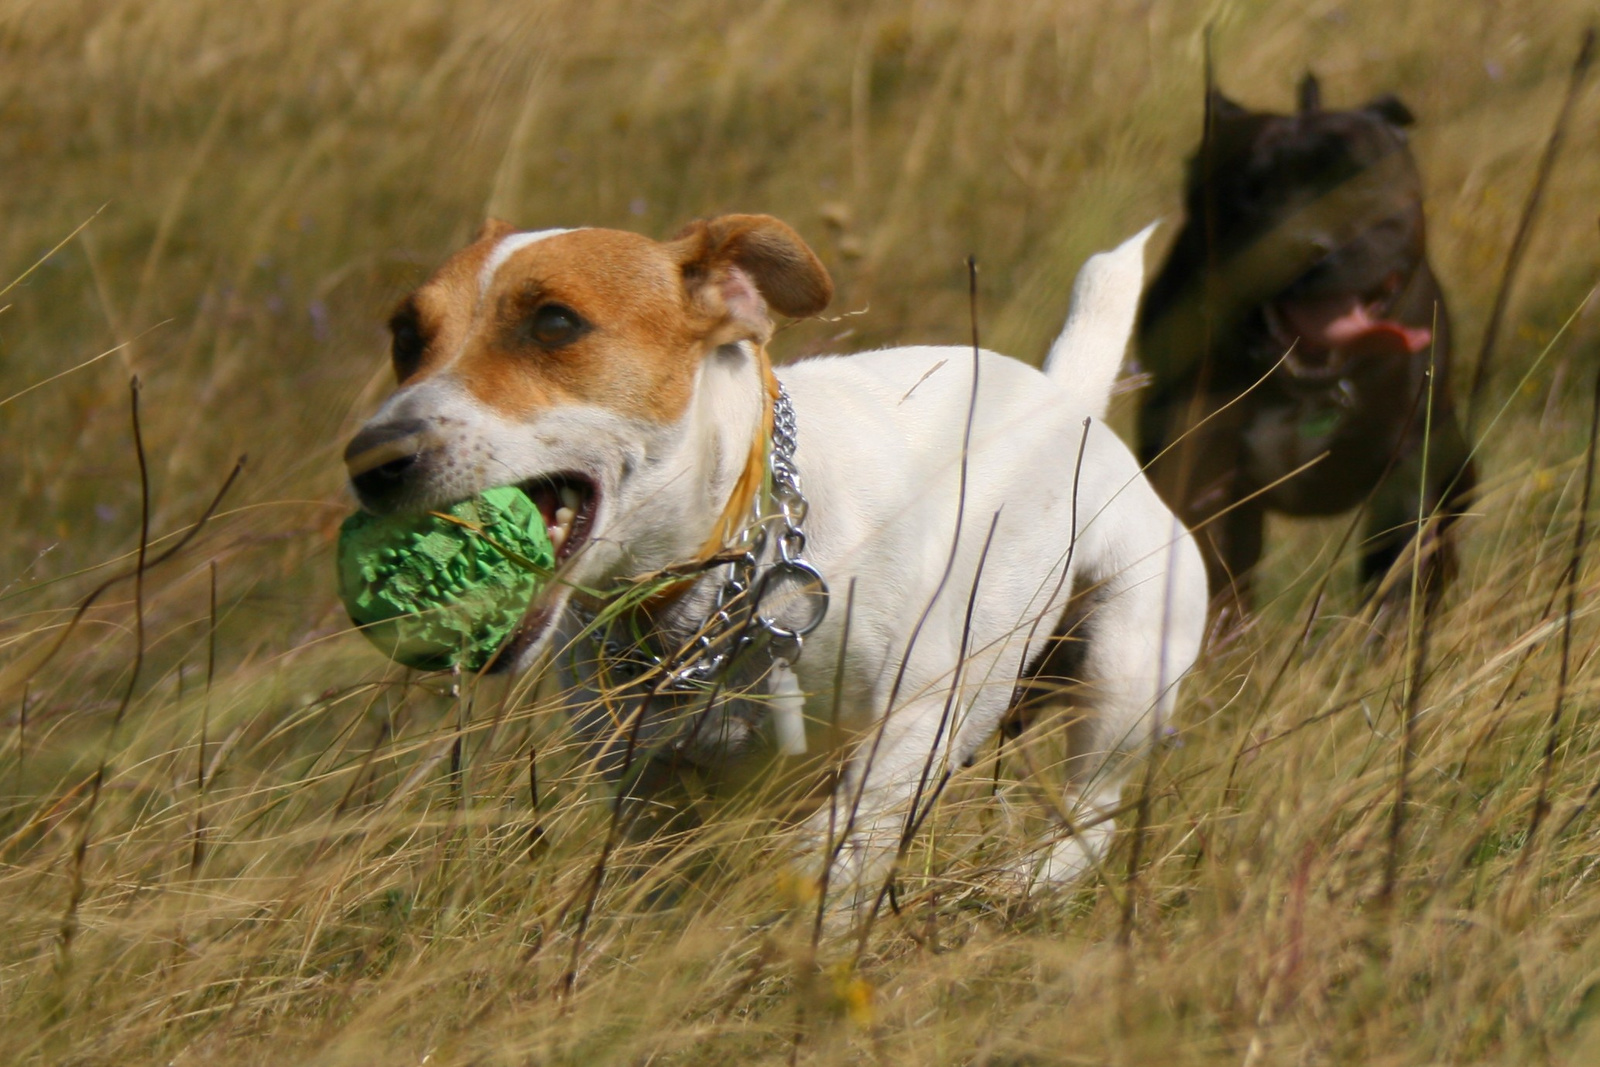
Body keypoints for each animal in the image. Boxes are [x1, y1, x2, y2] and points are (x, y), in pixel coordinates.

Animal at [347, 212, 1203, 889]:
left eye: (555, 323)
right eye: (404, 335)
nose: (372, 459)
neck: (711, 590)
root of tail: (1069, 397)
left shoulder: (917, 719)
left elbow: (832, 854)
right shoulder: (645, 790)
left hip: (1124, 666)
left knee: (1093, 812)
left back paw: (1024, 883)